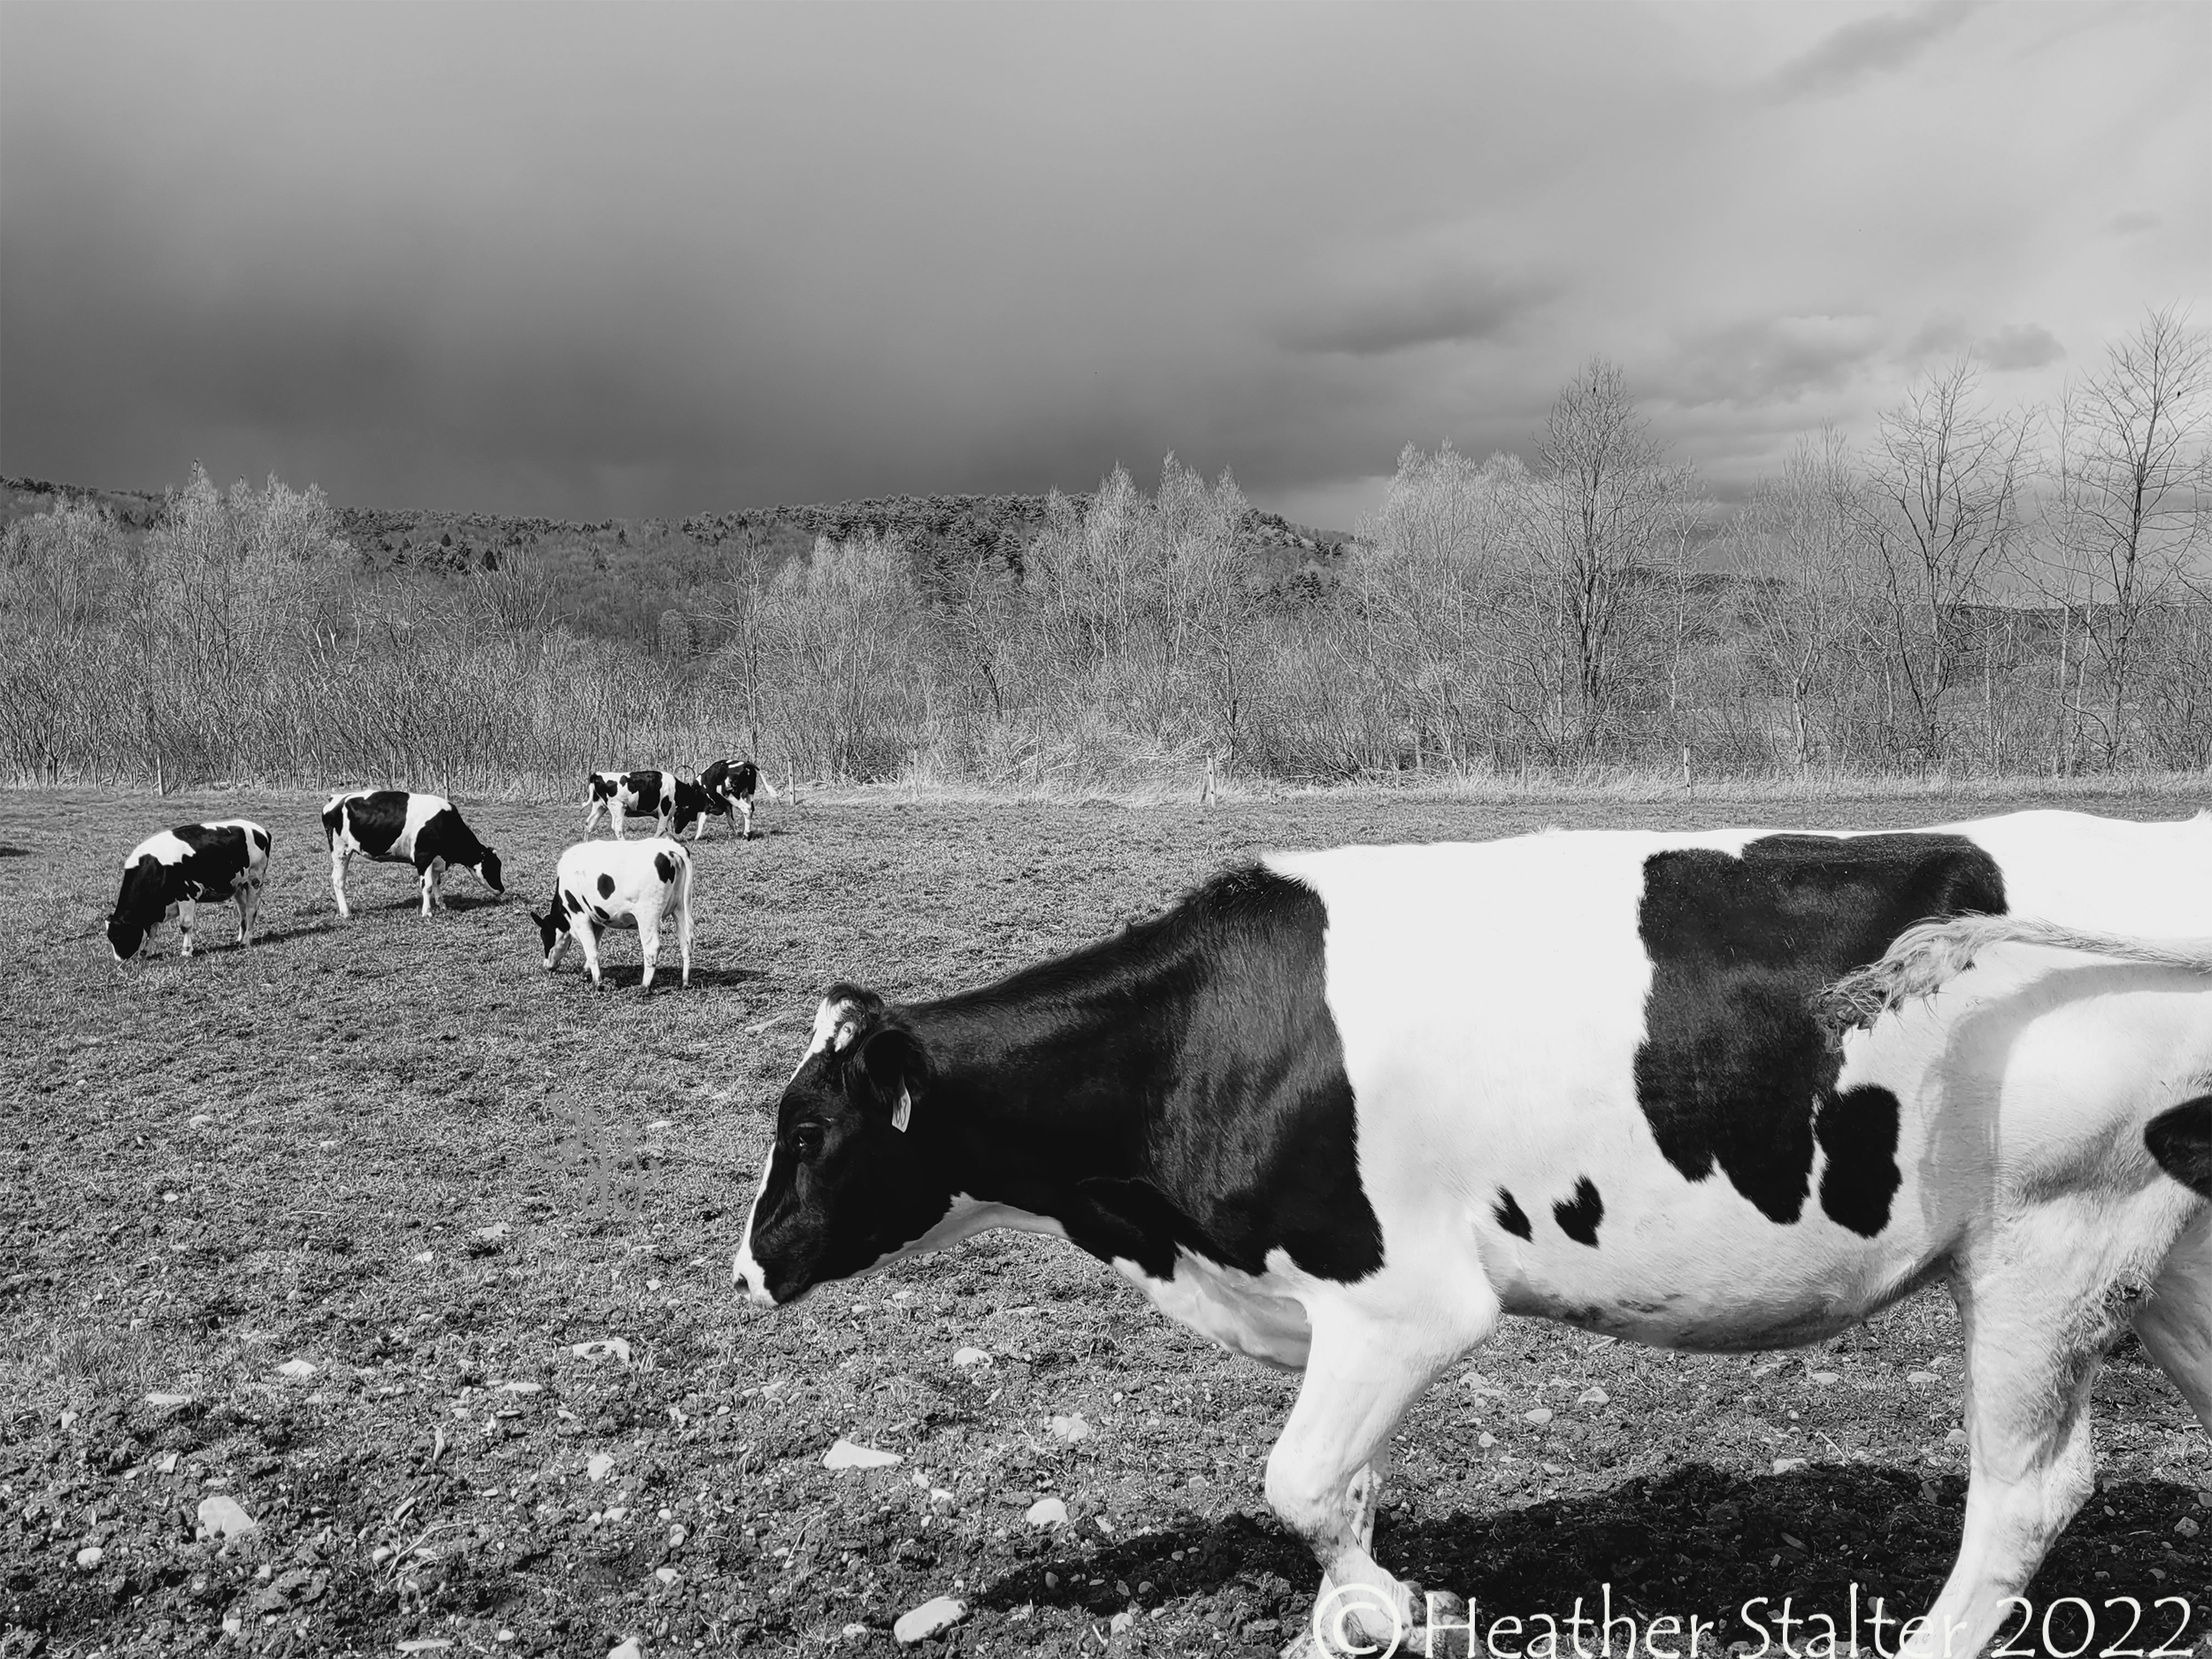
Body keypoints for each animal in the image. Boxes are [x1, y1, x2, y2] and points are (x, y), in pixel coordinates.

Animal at [107, 820, 272, 961]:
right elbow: (152, 930)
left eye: (118, 936)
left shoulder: (186, 894)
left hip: (255, 879)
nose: (120, 961)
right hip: (237, 884)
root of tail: (261, 830)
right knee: (242, 910)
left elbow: (185, 925)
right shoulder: (156, 907)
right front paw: (146, 952)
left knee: (251, 910)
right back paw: (239, 939)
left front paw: (186, 951)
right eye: (110, 938)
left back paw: (246, 941)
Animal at [321, 790, 504, 918]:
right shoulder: (423, 857)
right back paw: (346, 913)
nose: (502, 889)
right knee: (338, 880)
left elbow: (437, 882)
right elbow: (427, 885)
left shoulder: (435, 859)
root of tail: (336, 799)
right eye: (493, 866)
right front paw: (427, 912)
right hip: (340, 850)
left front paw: (442, 906)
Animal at [531, 837, 694, 990]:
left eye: (544, 935)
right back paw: (685, 982)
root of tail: (671, 848)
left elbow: (591, 950)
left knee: (652, 948)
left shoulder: (579, 916)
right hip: (680, 909)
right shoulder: (598, 919)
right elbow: (595, 945)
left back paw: (644, 987)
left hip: (647, 915)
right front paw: (586, 971)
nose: (547, 965)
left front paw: (597, 984)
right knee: (686, 943)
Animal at [732, 809, 2212, 1659]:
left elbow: (1302, 1481)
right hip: (2163, 1240)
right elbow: (1348, 1489)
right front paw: (1361, 1613)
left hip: (2049, 1236)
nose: (750, 1263)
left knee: (2025, 1491)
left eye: (806, 1127)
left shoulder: (1400, 1297)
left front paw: (1394, 1611)